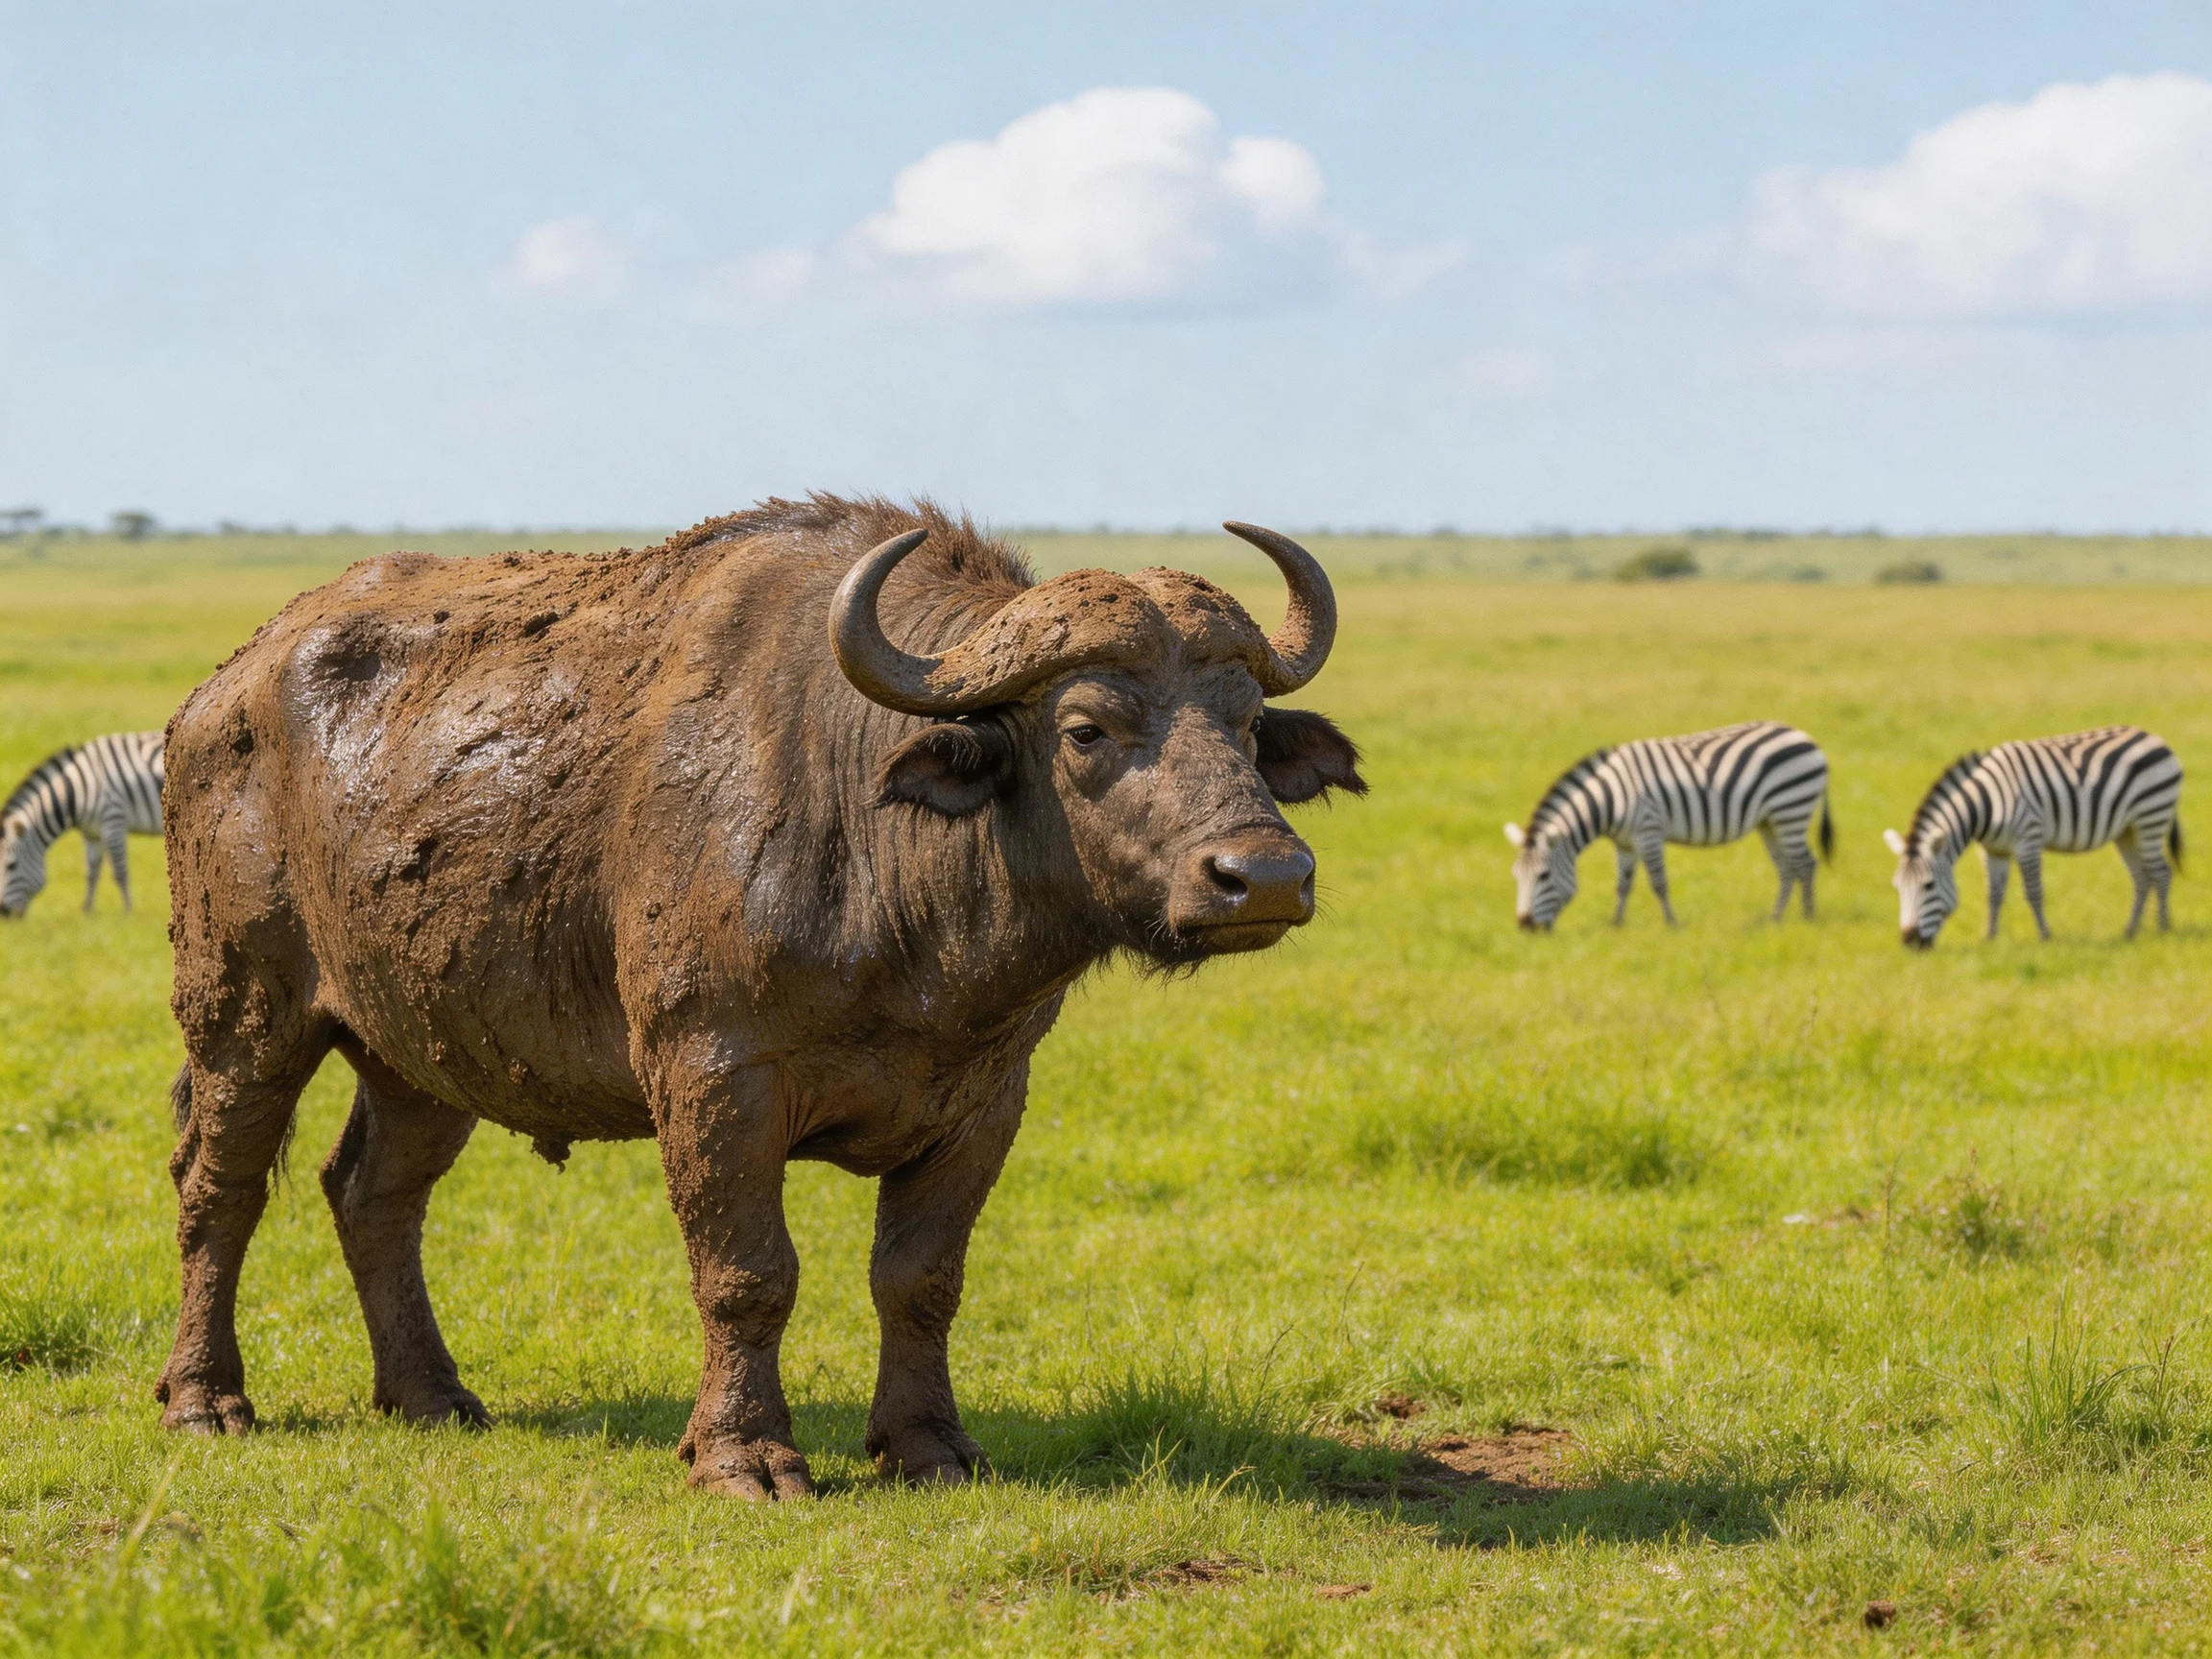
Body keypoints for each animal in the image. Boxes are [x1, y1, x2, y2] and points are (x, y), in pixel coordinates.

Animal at [0, 731, 166, 918]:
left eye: (11, 866)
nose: (3, 911)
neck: (76, 790)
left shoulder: (113, 820)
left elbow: (120, 871)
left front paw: (128, 911)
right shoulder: (92, 833)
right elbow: (91, 872)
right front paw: (87, 911)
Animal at [156, 495, 1363, 1497]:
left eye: (1245, 724)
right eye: (1086, 730)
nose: (1265, 876)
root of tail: (222, 691)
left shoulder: (986, 1100)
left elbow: (921, 1278)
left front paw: (928, 1446)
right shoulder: (712, 1077)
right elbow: (749, 1273)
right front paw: (745, 1455)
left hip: (427, 1048)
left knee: (374, 1194)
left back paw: (430, 1395)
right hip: (244, 1013)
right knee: (222, 1188)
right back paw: (205, 1398)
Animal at [1504, 721, 1832, 929]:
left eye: (1544, 876)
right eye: (1516, 876)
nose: (1524, 925)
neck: (1611, 799)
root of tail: (1807, 738)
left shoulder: (1648, 830)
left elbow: (1658, 882)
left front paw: (1671, 924)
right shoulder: (1625, 842)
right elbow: (1623, 885)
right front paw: (1616, 924)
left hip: (1791, 809)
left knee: (1806, 864)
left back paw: (1808, 918)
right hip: (1770, 821)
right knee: (1787, 867)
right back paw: (1776, 919)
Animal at [1883, 726, 2181, 948]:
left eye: (1929, 885)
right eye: (1897, 888)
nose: (1909, 941)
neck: (1986, 806)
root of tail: (2152, 737)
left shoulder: (2029, 838)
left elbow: (2033, 891)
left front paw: (2045, 936)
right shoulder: (1994, 850)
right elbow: (1993, 894)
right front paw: (1989, 938)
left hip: (2151, 816)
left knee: (2161, 873)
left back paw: (2164, 928)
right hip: (2127, 831)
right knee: (2142, 877)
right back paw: (2130, 931)